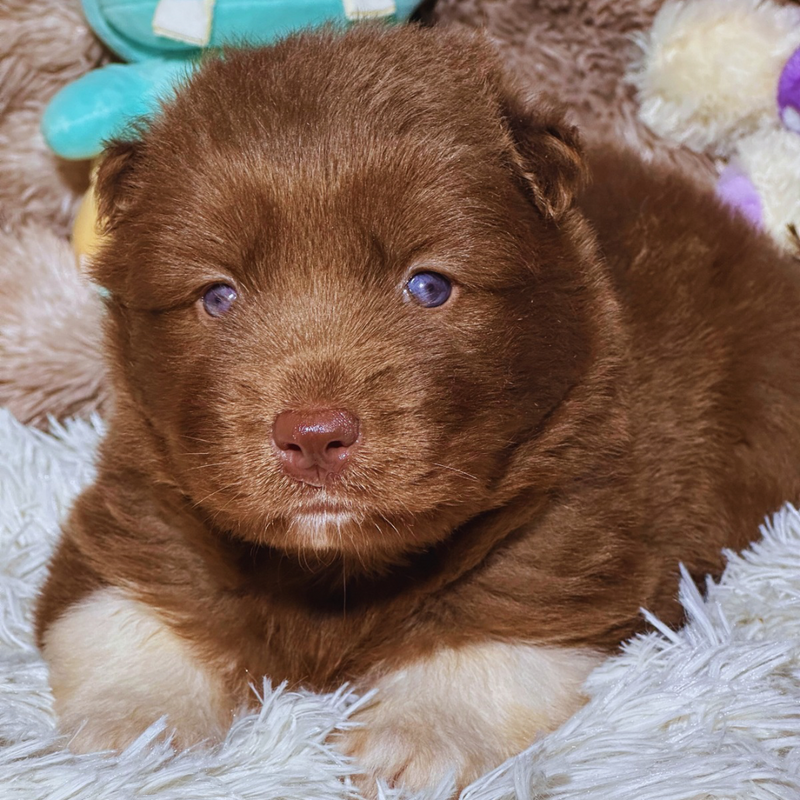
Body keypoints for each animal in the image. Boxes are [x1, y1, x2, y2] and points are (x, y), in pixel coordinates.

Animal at [36, 23, 800, 792]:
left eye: (429, 285)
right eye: (217, 295)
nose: (313, 435)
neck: (333, 569)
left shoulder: (574, 520)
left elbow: (491, 633)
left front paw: (413, 739)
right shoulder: (139, 502)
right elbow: (125, 613)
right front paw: (132, 731)